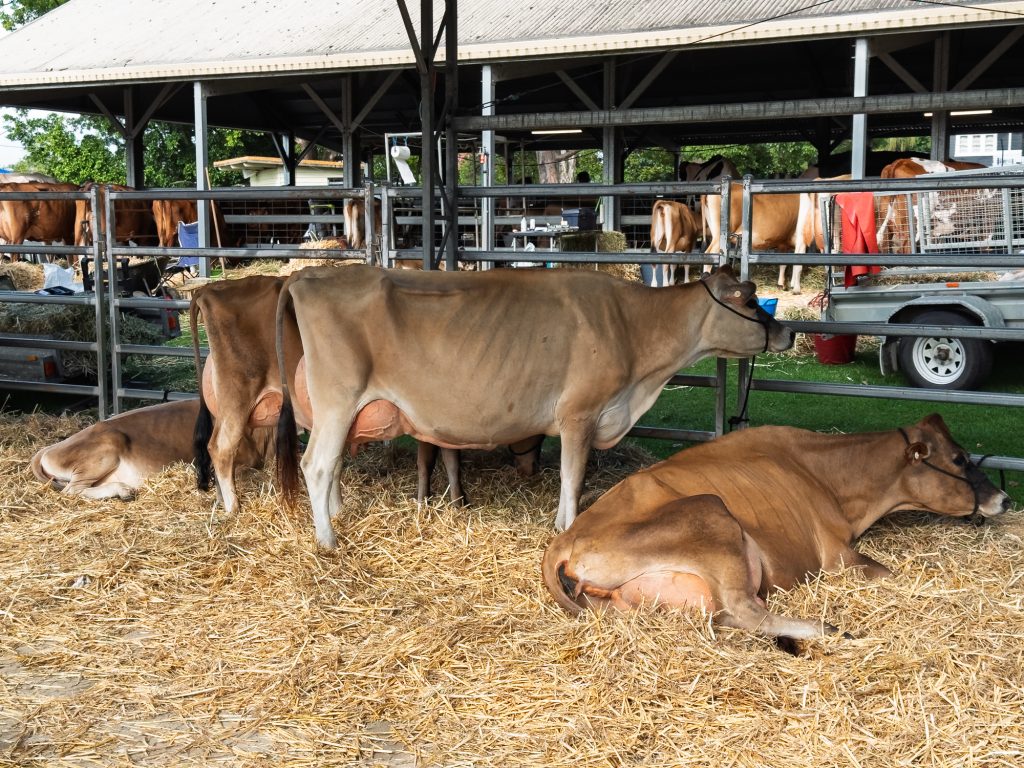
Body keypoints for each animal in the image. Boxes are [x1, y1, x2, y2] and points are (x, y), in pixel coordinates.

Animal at [274, 264, 794, 549]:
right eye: (751, 301)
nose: (787, 332)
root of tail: (307, 276)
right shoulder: (580, 413)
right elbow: (572, 479)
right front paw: (566, 526)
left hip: (337, 409)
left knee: (332, 463)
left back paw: (338, 516)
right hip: (338, 398)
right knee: (316, 464)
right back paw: (328, 540)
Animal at [542, 414, 1011, 650]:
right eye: (959, 458)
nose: (1004, 499)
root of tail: (563, 540)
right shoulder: (838, 556)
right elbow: (892, 574)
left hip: (626, 604)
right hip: (712, 514)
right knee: (744, 610)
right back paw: (829, 631)